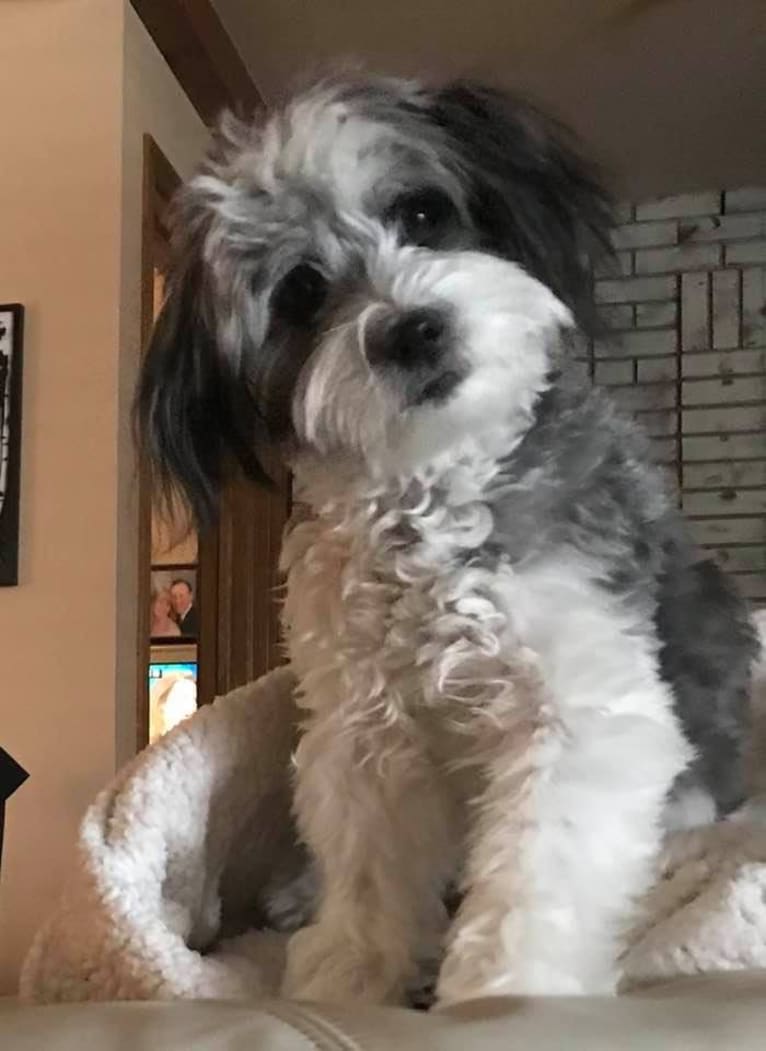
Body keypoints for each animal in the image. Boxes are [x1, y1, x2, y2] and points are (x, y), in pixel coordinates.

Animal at [134, 77, 756, 1004]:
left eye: (423, 212)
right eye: (302, 290)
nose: (410, 328)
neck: (428, 495)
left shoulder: (582, 708)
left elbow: (535, 878)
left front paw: (506, 990)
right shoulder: (365, 729)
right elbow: (368, 869)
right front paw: (354, 971)